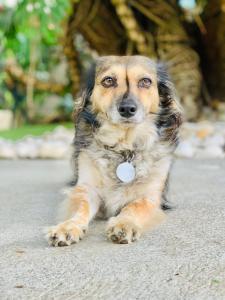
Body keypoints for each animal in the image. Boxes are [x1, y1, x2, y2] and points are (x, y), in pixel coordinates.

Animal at [46, 55, 182, 245]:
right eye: (108, 80)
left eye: (145, 81)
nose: (127, 109)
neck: (124, 149)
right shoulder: (87, 188)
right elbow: (81, 205)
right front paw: (68, 226)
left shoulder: (151, 197)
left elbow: (134, 206)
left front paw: (124, 224)